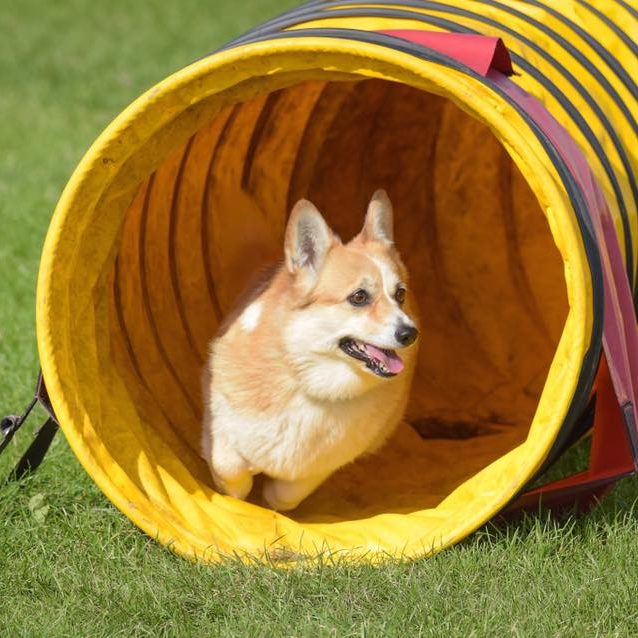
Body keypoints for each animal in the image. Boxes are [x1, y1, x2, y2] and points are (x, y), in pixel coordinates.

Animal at [201, 189, 420, 510]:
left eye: (400, 294)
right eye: (359, 297)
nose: (409, 334)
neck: (309, 382)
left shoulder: (323, 464)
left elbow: (286, 494)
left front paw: (270, 499)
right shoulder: (218, 415)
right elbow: (229, 464)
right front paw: (234, 493)